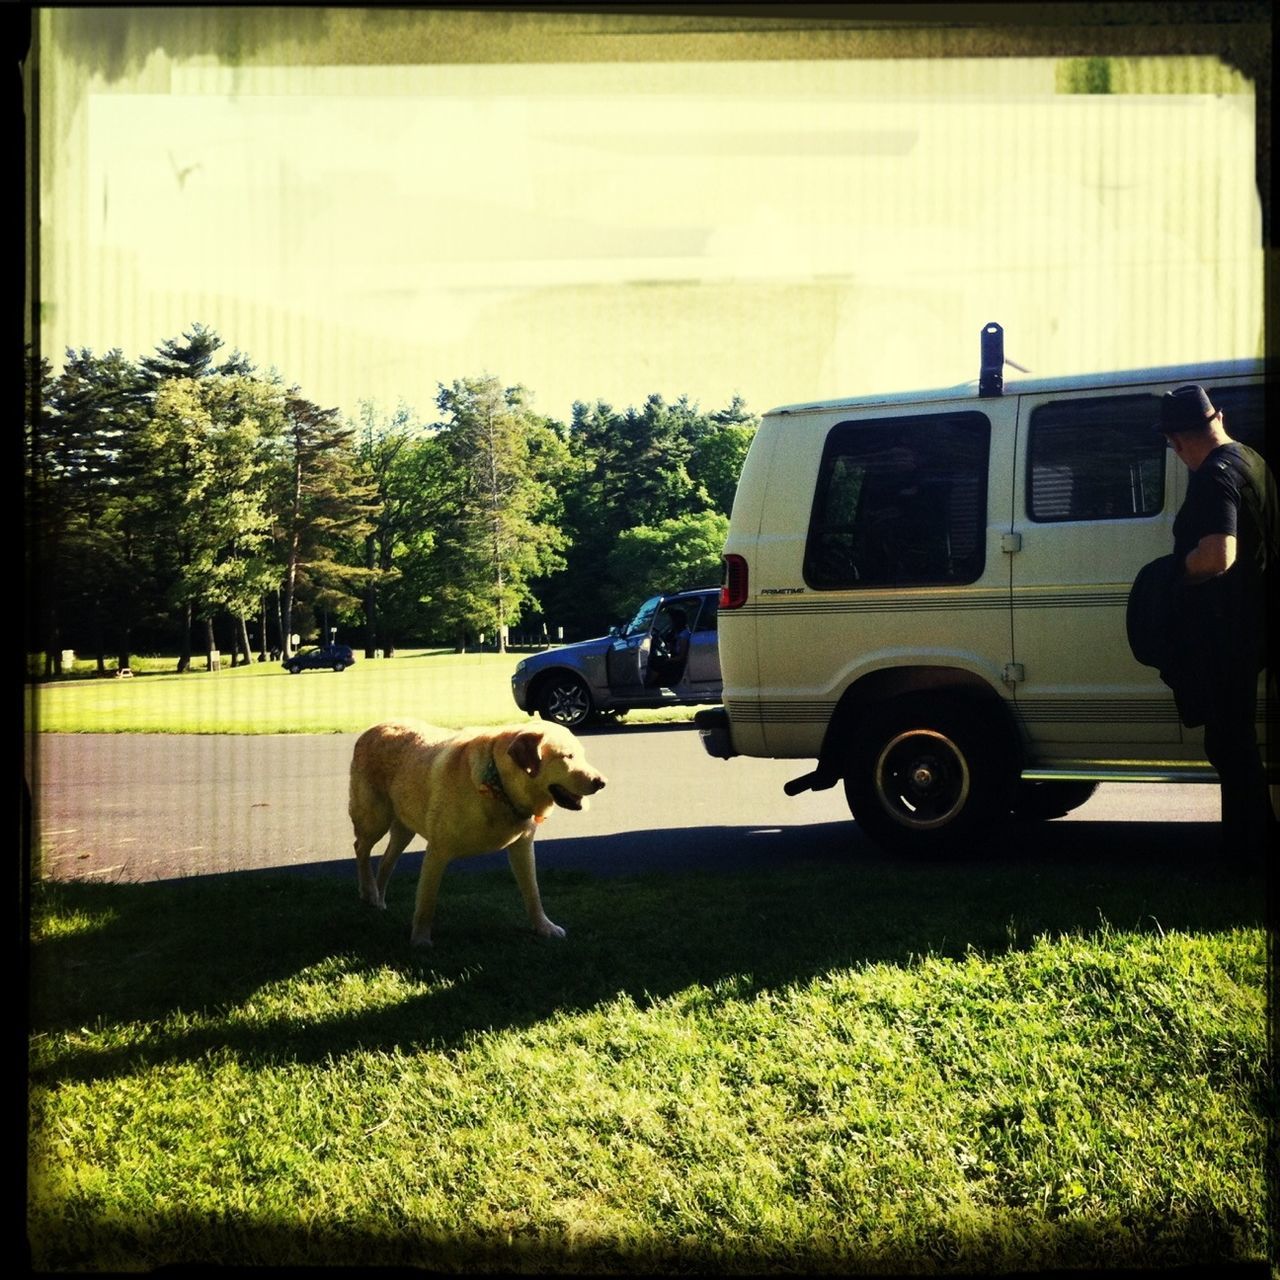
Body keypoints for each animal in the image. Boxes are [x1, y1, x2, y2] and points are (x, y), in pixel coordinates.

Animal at [348, 721, 606, 952]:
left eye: (581, 755)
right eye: (567, 756)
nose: (602, 782)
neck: (499, 786)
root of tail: (372, 729)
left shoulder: (522, 847)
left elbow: (533, 893)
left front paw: (544, 928)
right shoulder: (437, 851)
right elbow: (426, 902)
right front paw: (420, 940)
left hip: (404, 827)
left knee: (386, 860)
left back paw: (378, 900)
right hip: (375, 818)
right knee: (361, 847)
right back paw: (367, 891)